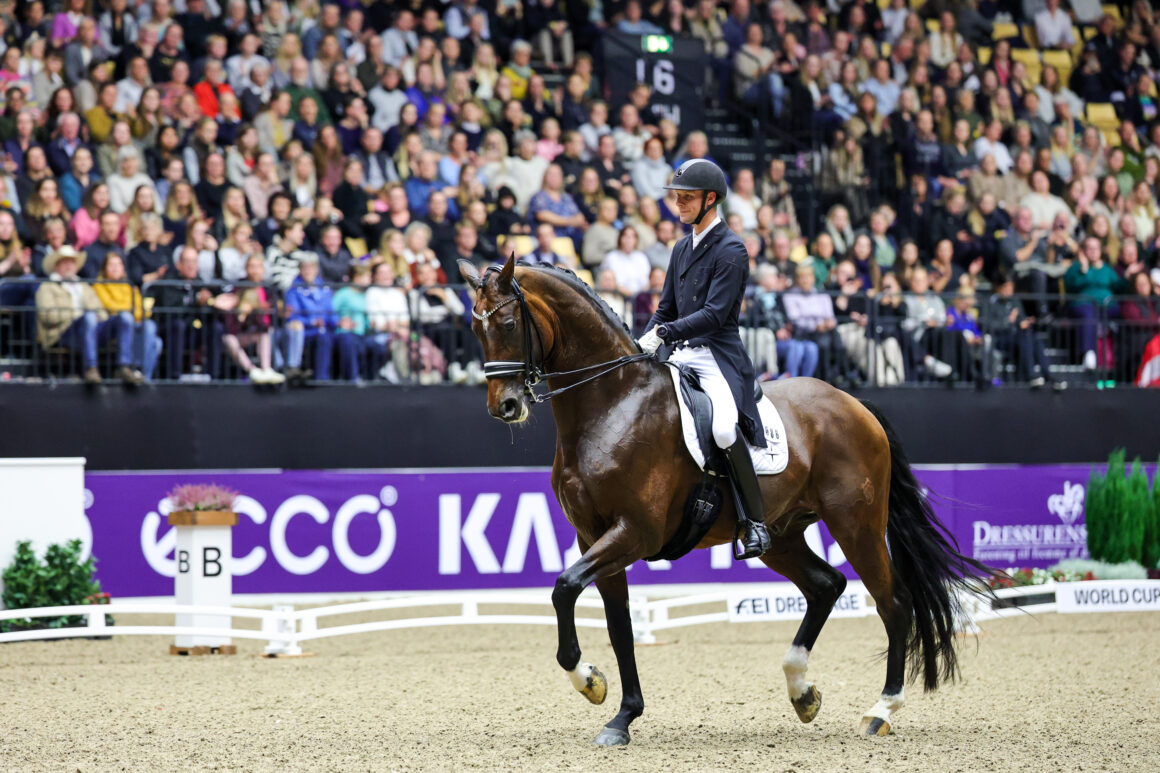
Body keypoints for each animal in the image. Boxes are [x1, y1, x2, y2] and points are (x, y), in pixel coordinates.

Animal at [457, 255, 992, 742]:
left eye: (508, 323)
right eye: (474, 327)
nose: (505, 406)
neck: (612, 403)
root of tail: (853, 403)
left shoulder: (633, 532)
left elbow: (564, 587)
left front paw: (590, 681)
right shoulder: (594, 536)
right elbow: (619, 625)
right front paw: (621, 714)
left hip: (856, 526)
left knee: (892, 603)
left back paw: (880, 710)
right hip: (781, 534)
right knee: (826, 586)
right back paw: (802, 691)